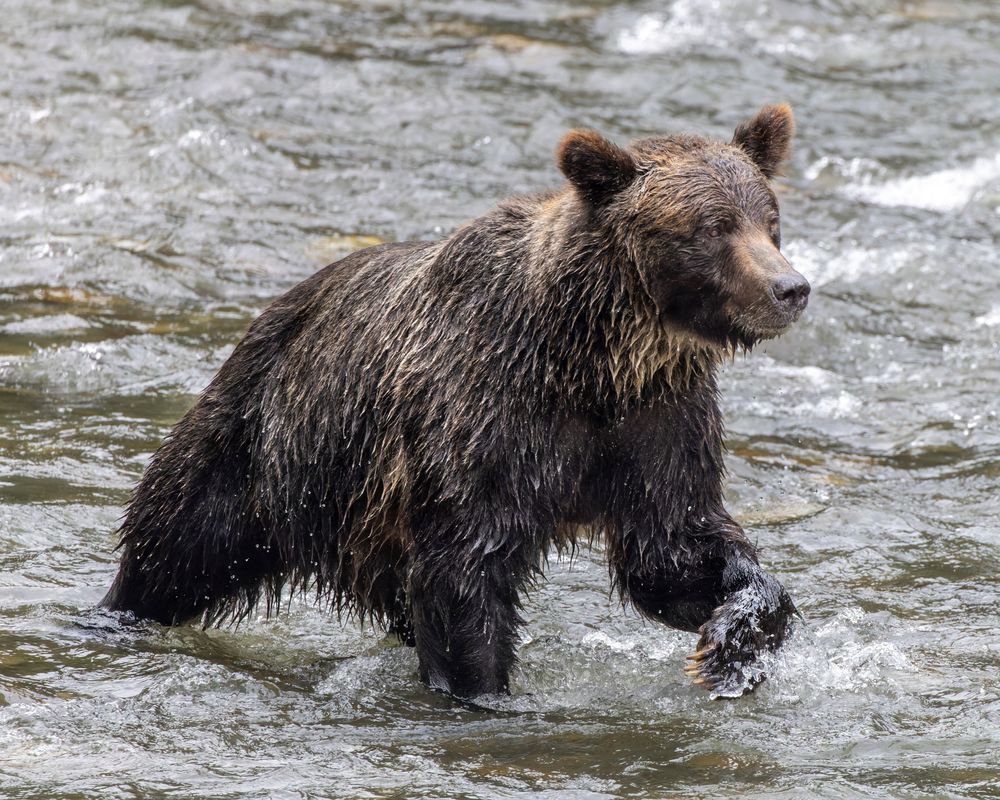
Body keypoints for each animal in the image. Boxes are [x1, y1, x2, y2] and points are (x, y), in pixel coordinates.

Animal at [102, 104, 810, 698]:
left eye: (769, 220)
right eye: (711, 227)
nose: (791, 287)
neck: (595, 361)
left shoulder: (657, 421)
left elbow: (671, 551)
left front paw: (733, 642)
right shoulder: (489, 414)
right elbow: (467, 570)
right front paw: (485, 693)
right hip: (263, 443)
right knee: (176, 544)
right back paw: (116, 613)